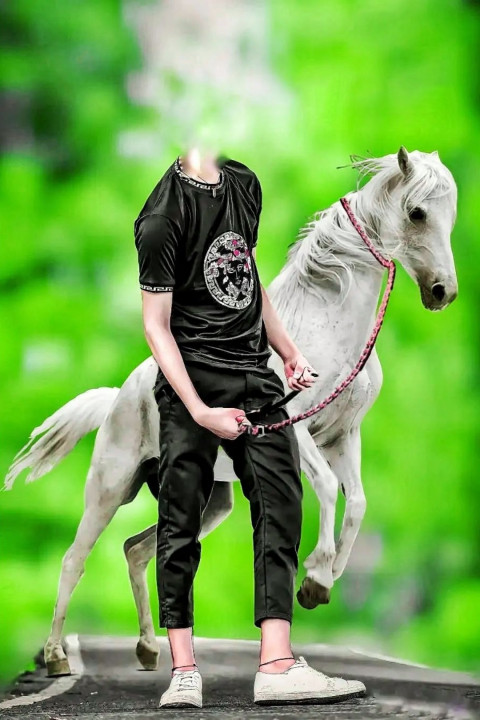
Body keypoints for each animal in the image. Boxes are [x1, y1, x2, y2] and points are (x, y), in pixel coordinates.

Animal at [4, 147, 458, 677]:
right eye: (417, 213)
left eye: (450, 214)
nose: (442, 292)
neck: (327, 326)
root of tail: (118, 397)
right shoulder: (297, 430)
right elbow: (328, 487)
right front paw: (314, 577)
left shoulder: (345, 436)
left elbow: (360, 503)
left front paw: (323, 582)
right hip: (110, 488)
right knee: (74, 559)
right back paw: (57, 657)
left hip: (212, 502)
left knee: (137, 551)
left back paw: (148, 649)